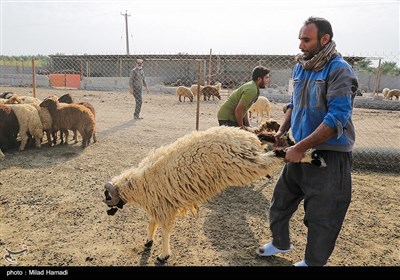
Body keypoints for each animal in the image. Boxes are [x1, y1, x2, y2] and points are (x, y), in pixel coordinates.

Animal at [102, 126, 324, 264]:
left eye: (107, 198)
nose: (108, 213)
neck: (138, 183)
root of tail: (245, 136)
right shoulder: (158, 206)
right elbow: (151, 224)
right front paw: (148, 241)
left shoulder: (165, 208)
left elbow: (164, 231)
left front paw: (163, 255)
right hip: (248, 157)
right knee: (267, 142)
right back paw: (293, 144)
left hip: (244, 163)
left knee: (274, 156)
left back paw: (310, 157)